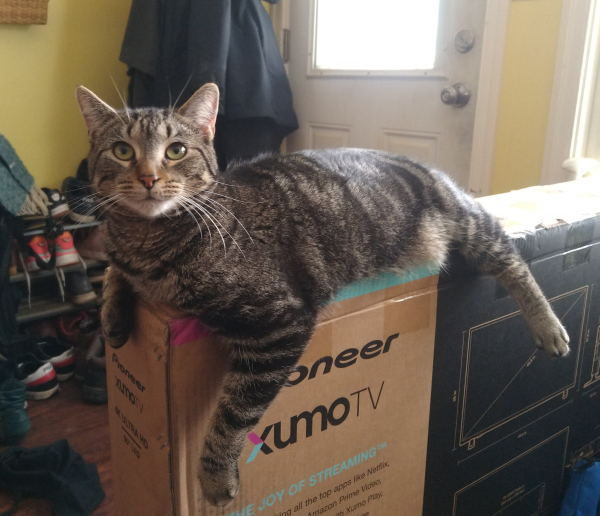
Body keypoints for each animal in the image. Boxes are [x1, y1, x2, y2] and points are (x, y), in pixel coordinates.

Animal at [77, 82, 568, 506]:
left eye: (176, 150)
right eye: (122, 151)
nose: (148, 177)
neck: (148, 242)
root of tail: (420, 162)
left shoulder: (278, 324)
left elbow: (233, 413)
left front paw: (215, 478)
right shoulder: (124, 257)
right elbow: (113, 273)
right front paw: (112, 320)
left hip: (469, 226)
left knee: (512, 257)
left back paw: (548, 327)